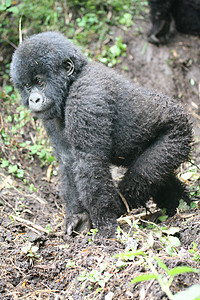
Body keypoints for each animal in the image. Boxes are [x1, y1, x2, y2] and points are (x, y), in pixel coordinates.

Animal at [10, 31, 192, 236]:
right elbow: (68, 160)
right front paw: (78, 216)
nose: (33, 99)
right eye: (27, 86)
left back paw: (123, 207)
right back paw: (180, 205)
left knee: (144, 173)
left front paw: (105, 226)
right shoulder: (50, 116)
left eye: (40, 82)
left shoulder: (86, 96)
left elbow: (90, 162)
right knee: (159, 177)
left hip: (177, 133)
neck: (73, 81)